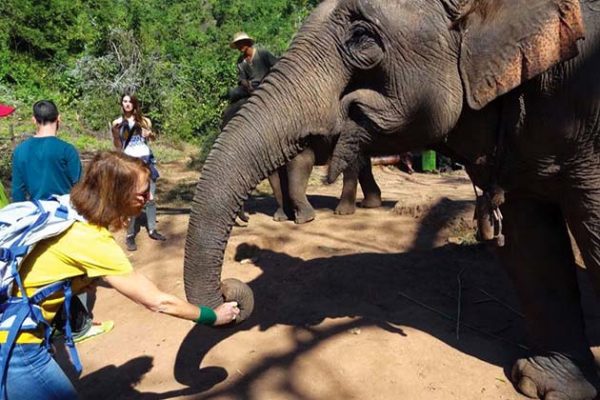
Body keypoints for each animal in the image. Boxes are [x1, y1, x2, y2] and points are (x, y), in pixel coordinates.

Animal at [220, 96, 384, 222]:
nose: (248, 219)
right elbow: (276, 177)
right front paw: (280, 218)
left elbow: (301, 163)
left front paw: (304, 219)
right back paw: (370, 204)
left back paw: (342, 212)